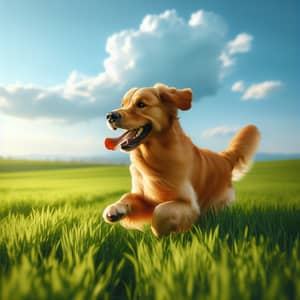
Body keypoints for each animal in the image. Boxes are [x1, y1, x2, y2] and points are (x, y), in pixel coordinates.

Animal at [101, 82, 260, 237]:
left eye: (141, 104)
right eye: (123, 104)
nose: (110, 116)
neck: (152, 157)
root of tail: (224, 157)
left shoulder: (189, 204)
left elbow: (160, 211)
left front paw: (160, 233)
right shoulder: (146, 197)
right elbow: (128, 196)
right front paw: (115, 209)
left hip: (217, 203)